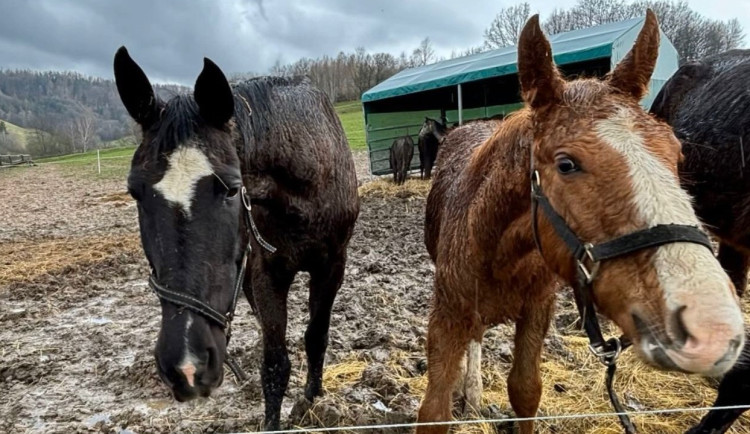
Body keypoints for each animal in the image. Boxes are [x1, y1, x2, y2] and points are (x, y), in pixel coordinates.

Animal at [114, 46, 362, 430]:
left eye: (232, 188)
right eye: (134, 191)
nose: (187, 365)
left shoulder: (332, 265)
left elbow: (315, 337)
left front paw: (312, 398)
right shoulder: (266, 272)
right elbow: (275, 363)